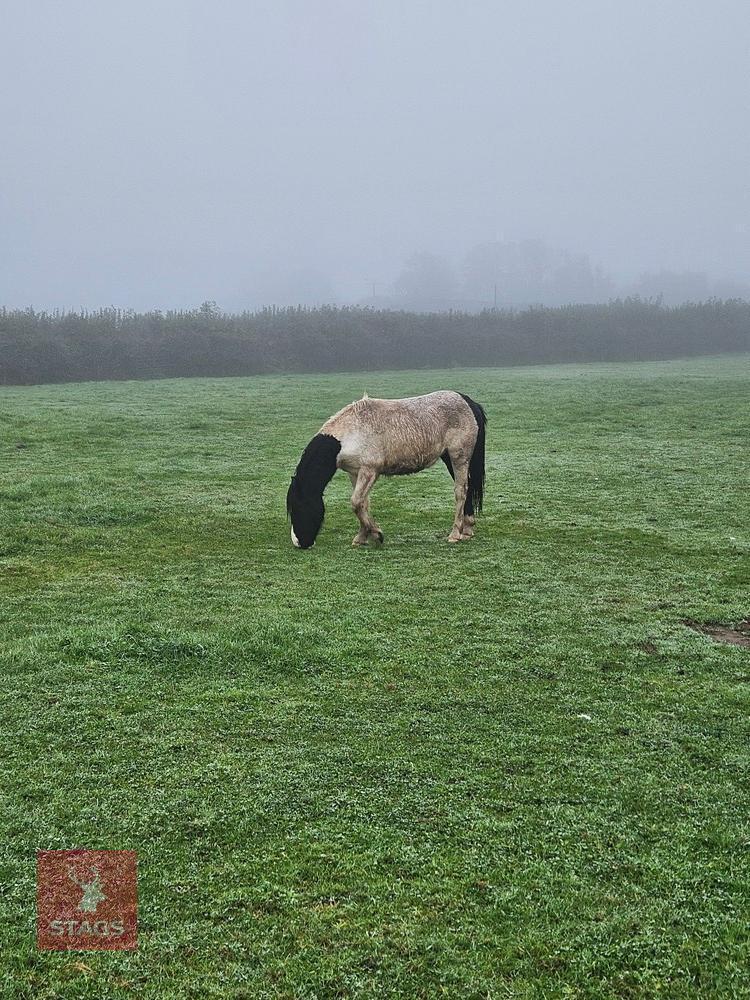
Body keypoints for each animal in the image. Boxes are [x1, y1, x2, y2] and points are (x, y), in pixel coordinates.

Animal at [286, 390, 486, 548]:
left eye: (298, 507)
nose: (299, 543)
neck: (351, 431)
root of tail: (466, 400)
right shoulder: (355, 473)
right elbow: (362, 504)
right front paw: (362, 536)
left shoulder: (370, 471)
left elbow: (356, 502)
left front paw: (376, 534)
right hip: (449, 458)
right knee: (467, 489)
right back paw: (467, 529)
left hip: (458, 457)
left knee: (461, 491)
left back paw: (455, 534)